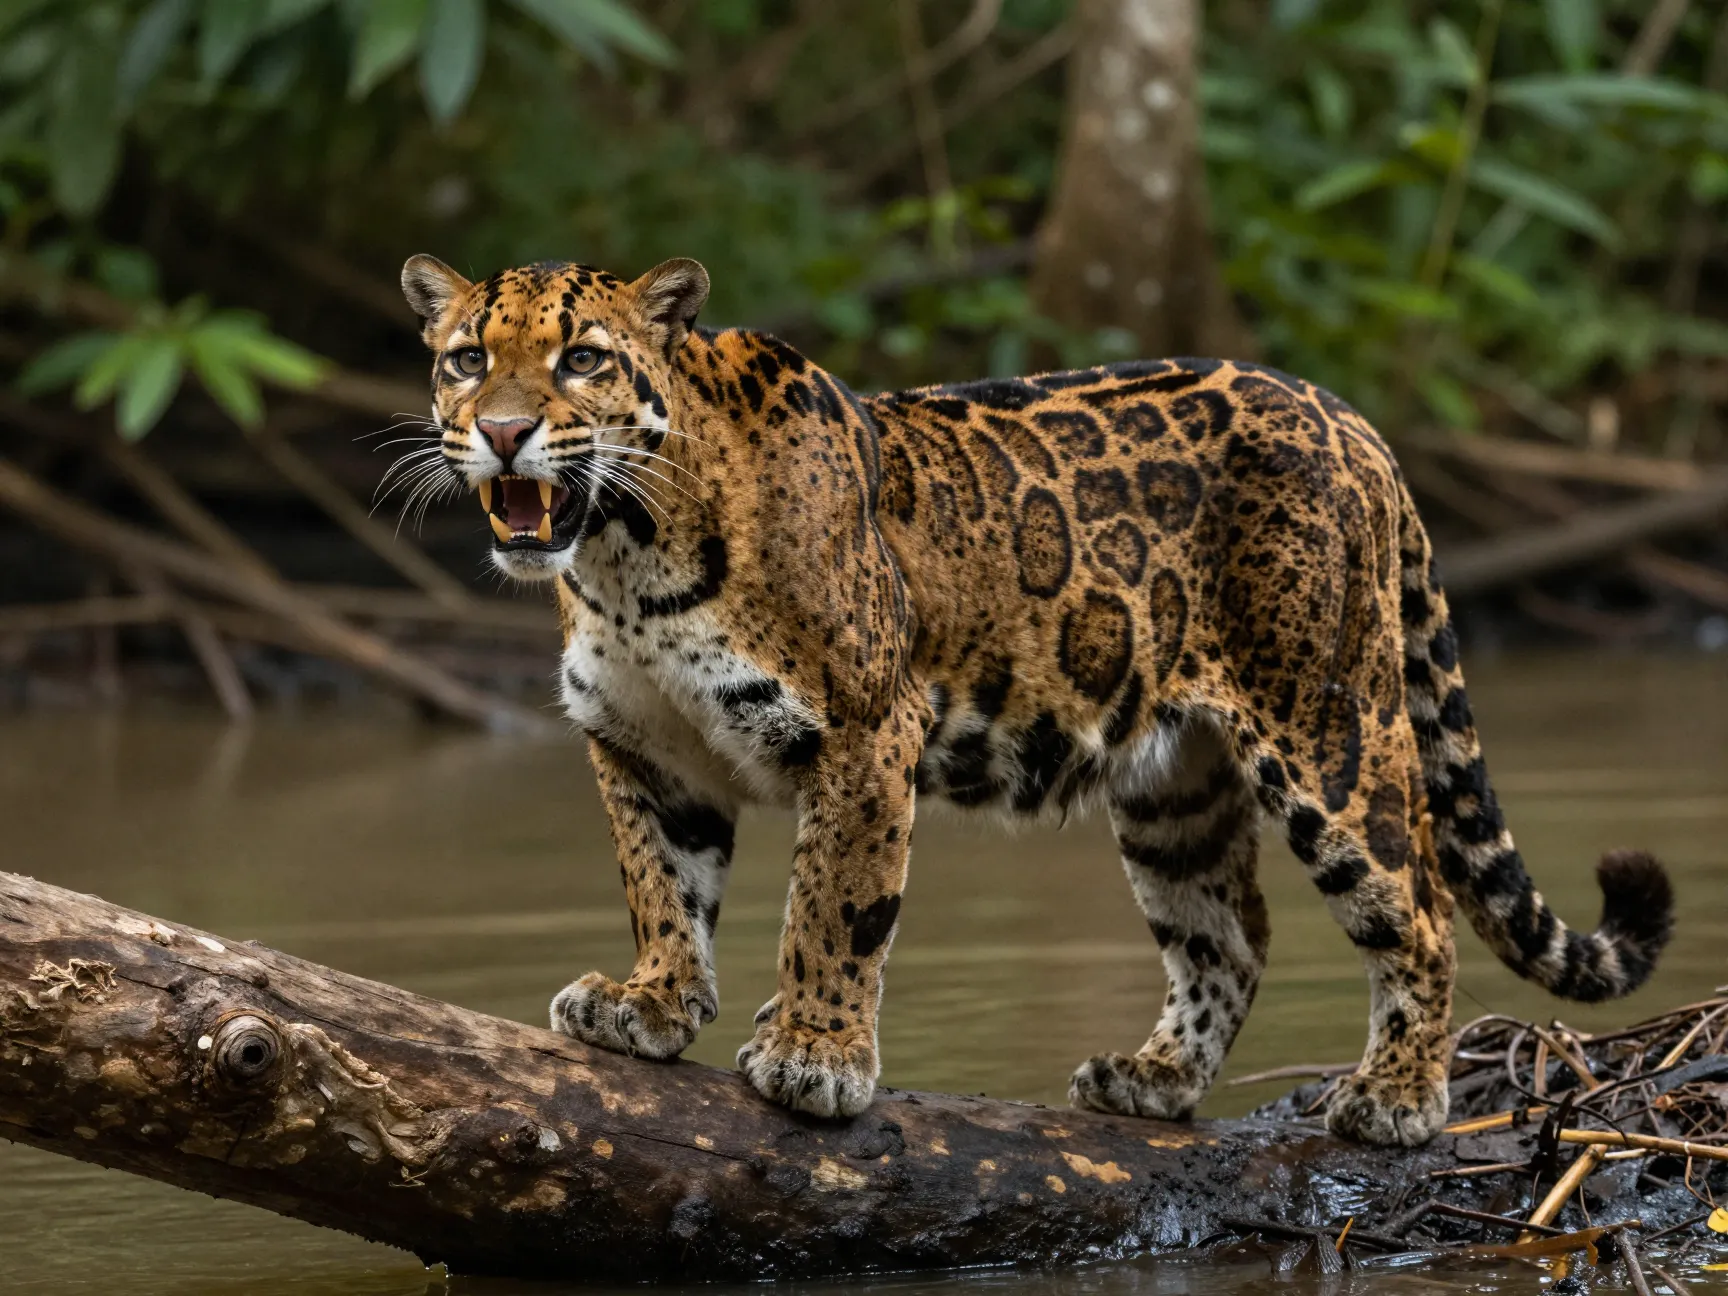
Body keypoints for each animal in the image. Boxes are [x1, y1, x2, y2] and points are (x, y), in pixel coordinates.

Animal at [396, 252, 1674, 1146]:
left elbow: (833, 911)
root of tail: (1349, 418)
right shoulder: (642, 750)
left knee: (1418, 908)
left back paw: (1397, 1097)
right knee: (1230, 932)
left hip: (1330, 726)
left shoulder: (867, 731)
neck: (625, 564)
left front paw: (815, 1055)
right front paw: (653, 1004)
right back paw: (1153, 1081)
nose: (502, 431)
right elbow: (660, 886)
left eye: (582, 360)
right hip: (1174, 785)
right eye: (465, 360)